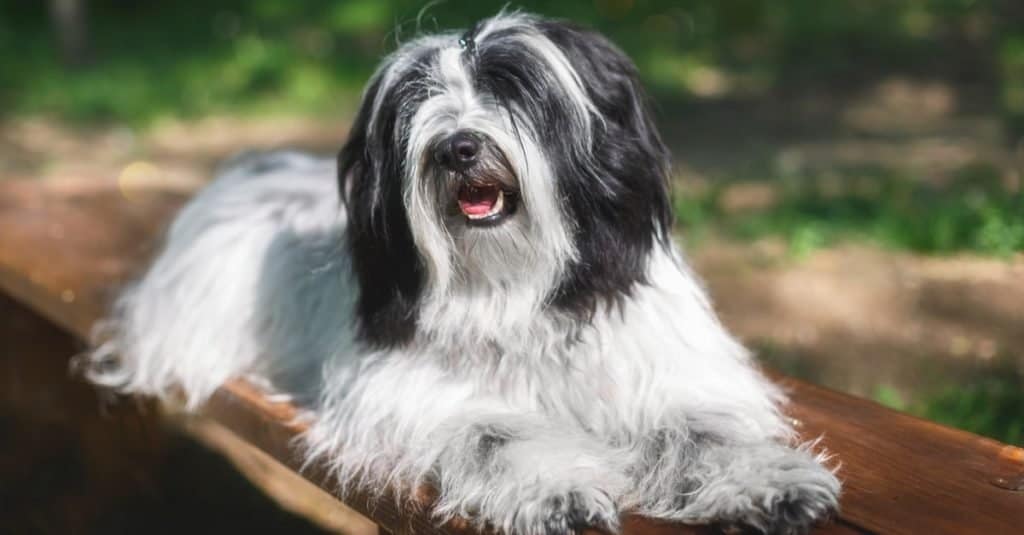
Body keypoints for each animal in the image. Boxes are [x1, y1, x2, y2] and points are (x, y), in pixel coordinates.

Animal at [86, 11, 839, 532]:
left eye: (514, 87)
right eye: (418, 99)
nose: (458, 146)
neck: (520, 287)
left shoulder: (659, 368)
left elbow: (704, 428)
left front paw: (769, 480)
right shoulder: (411, 392)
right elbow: (497, 432)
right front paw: (558, 488)